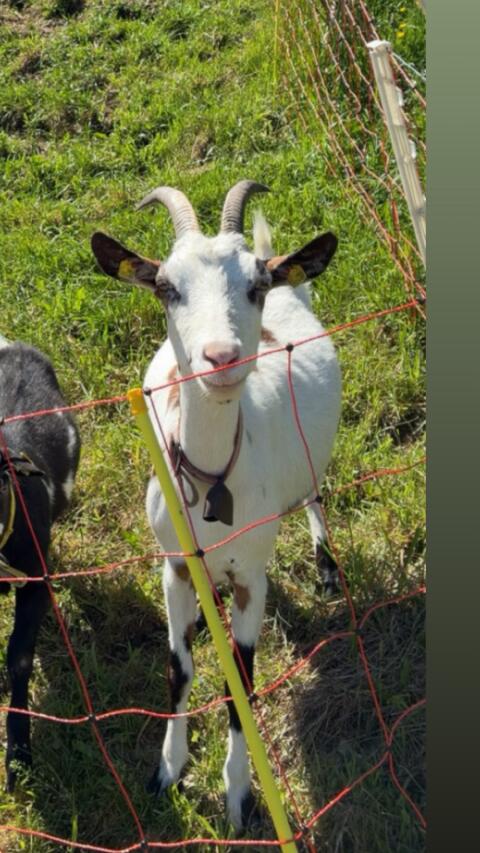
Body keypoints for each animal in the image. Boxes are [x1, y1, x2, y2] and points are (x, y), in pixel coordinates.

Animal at [91, 180, 341, 829]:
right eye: (166, 287)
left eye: (252, 285)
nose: (221, 357)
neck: (211, 479)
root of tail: (291, 277)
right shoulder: (174, 567)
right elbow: (179, 667)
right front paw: (167, 770)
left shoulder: (253, 576)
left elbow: (241, 681)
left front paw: (238, 793)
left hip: (313, 456)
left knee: (314, 495)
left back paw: (328, 568)